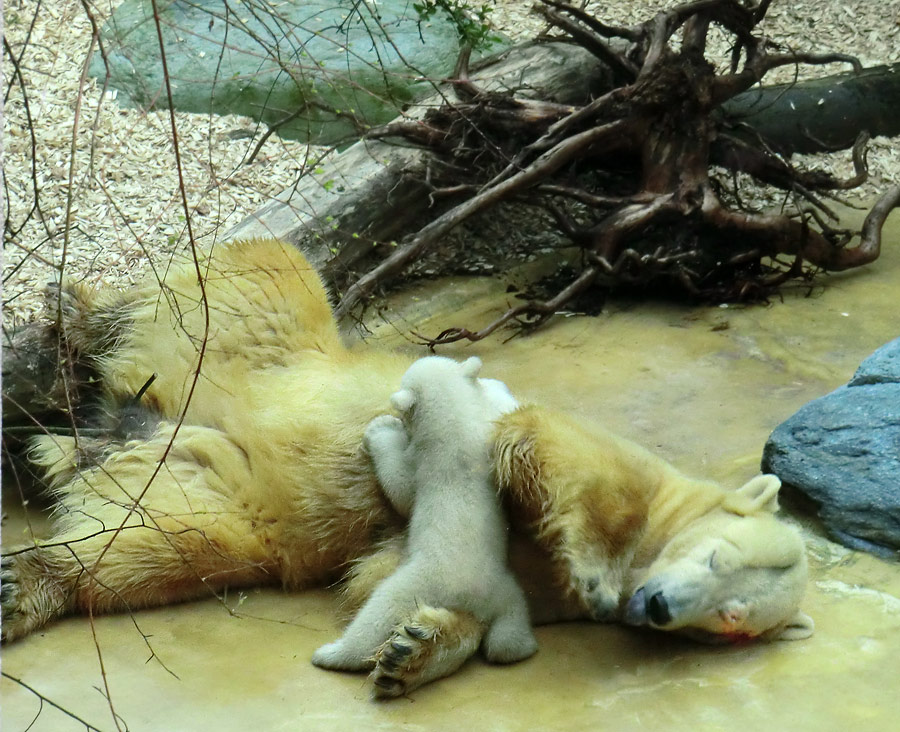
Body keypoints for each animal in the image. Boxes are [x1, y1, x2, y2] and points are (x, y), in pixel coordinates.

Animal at [312, 358, 536, 672]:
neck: (457, 424)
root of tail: (468, 599)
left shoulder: (426, 462)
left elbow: (403, 491)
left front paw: (381, 428)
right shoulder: (486, 434)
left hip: (418, 582)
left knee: (379, 610)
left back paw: (333, 653)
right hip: (504, 590)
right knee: (510, 628)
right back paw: (521, 647)